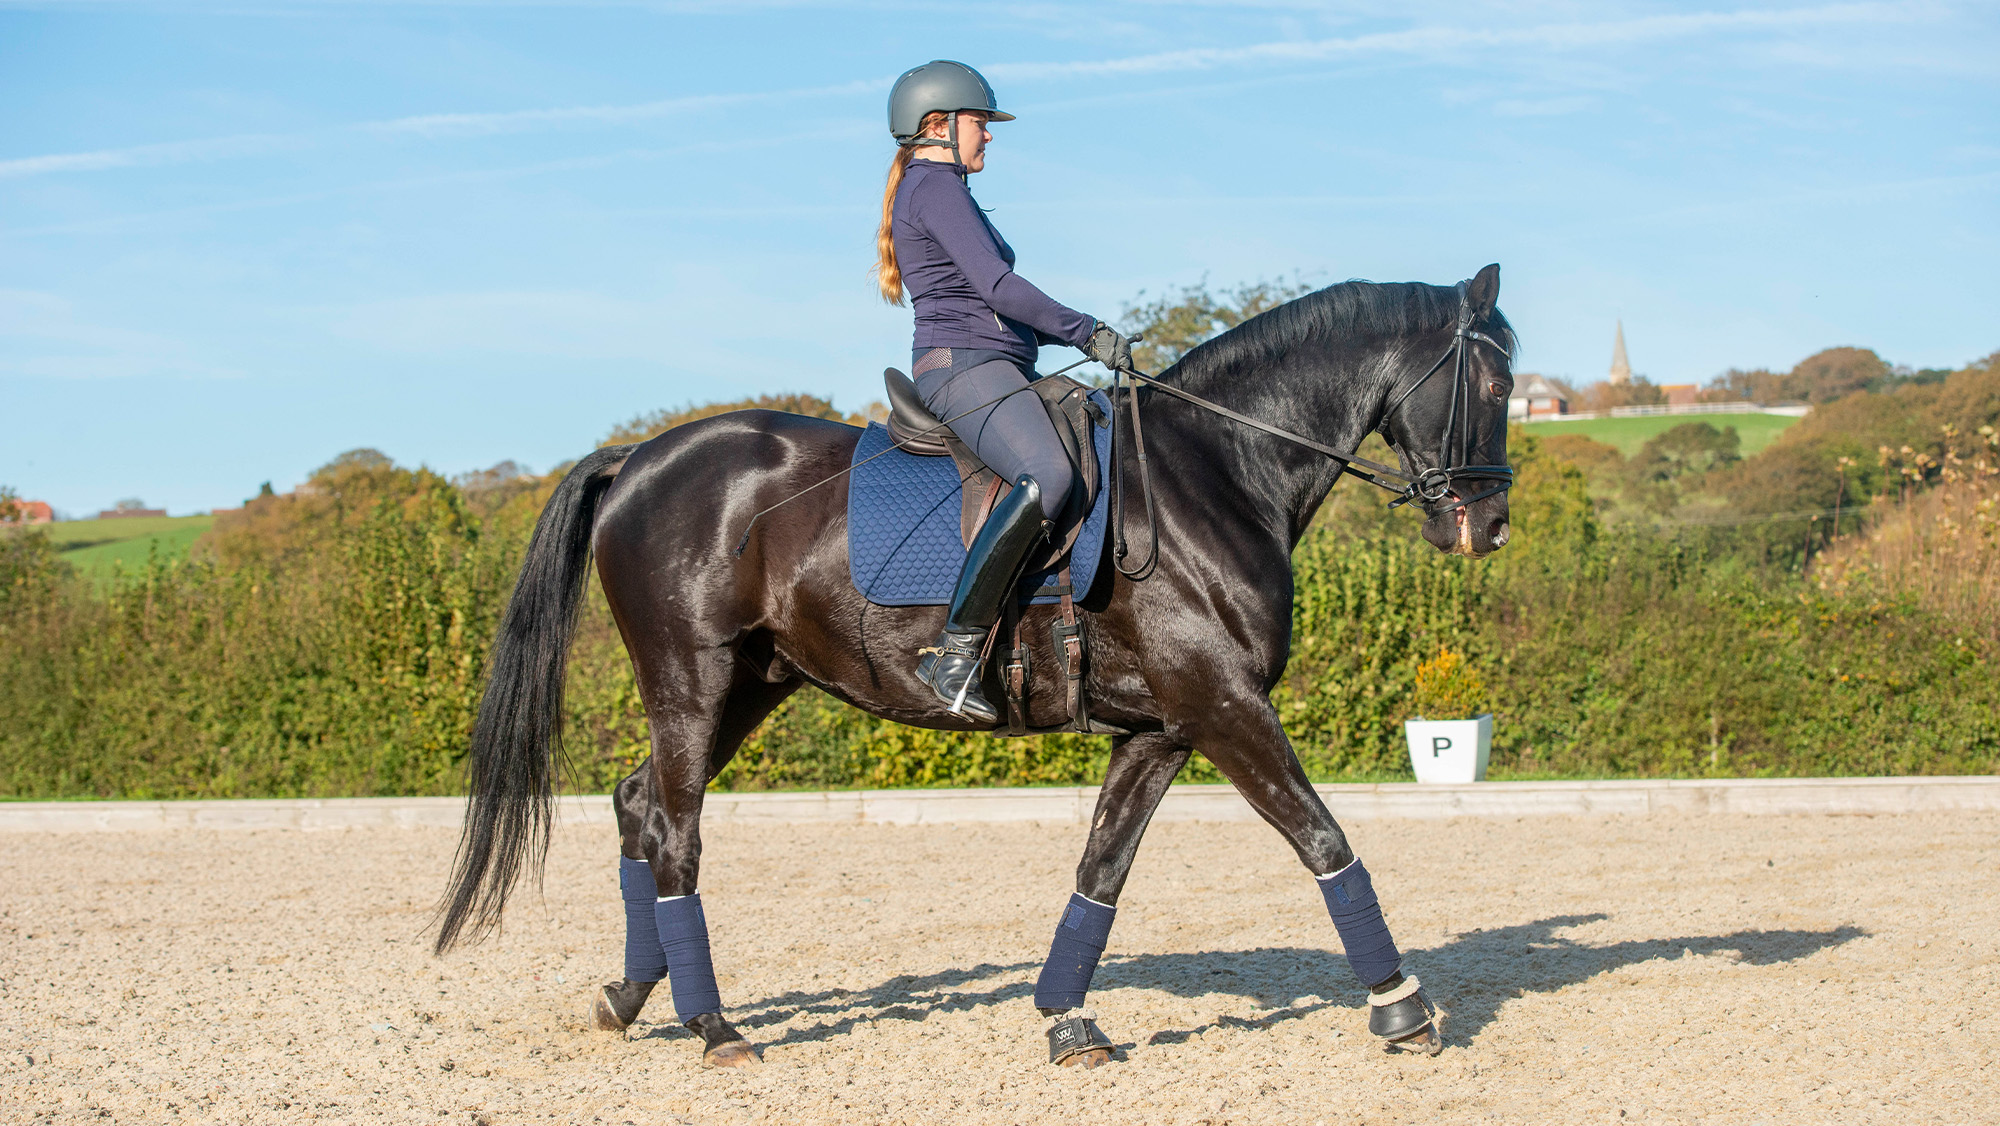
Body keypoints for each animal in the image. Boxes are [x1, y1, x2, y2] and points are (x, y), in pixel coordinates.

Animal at [434, 264, 1517, 1069]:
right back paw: (714, 1028)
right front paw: (1401, 1005)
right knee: (673, 833)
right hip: (691, 682)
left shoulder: (1162, 727)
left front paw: (1067, 1020)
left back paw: (628, 996)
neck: (1213, 472)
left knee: (636, 805)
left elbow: (1101, 871)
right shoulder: (1223, 705)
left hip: (748, 685)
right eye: (1497, 384)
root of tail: (638, 457)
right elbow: (1324, 839)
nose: (1488, 526)